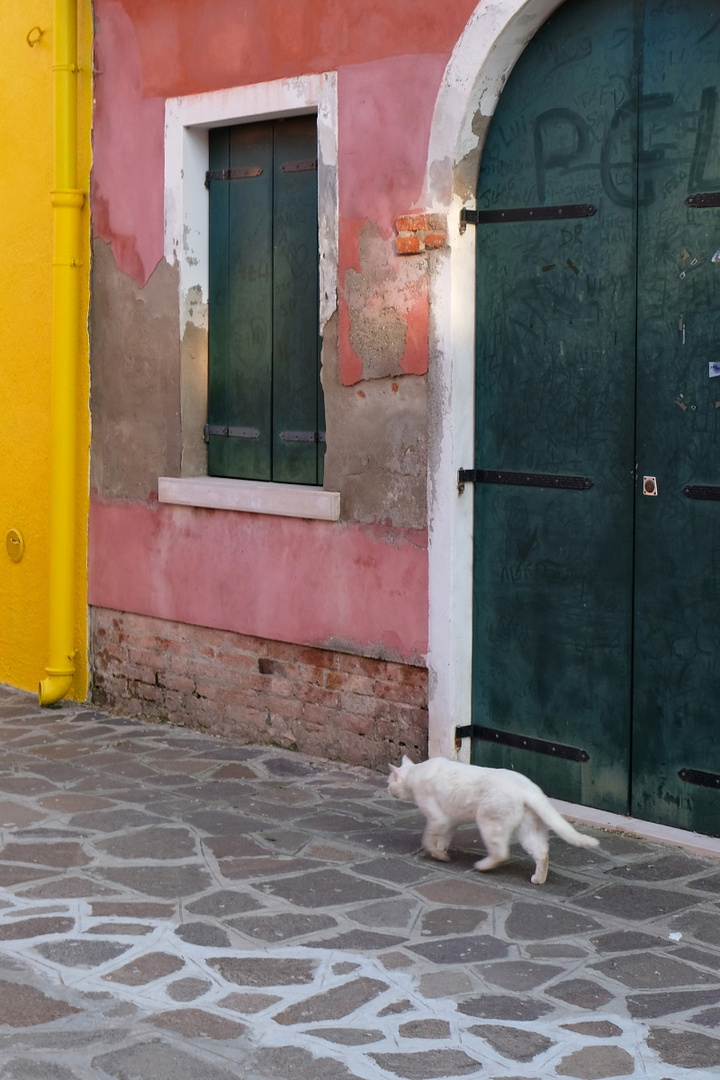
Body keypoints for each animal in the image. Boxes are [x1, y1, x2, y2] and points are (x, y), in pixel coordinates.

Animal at [390, 756, 600, 881]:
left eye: (388, 782)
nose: (387, 789)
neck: (416, 772)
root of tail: (529, 788)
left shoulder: (438, 818)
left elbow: (428, 839)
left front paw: (437, 854)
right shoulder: (450, 820)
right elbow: (443, 839)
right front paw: (441, 853)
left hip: (489, 824)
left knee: (501, 854)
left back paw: (482, 866)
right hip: (528, 830)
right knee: (542, 852)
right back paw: (538, 879)